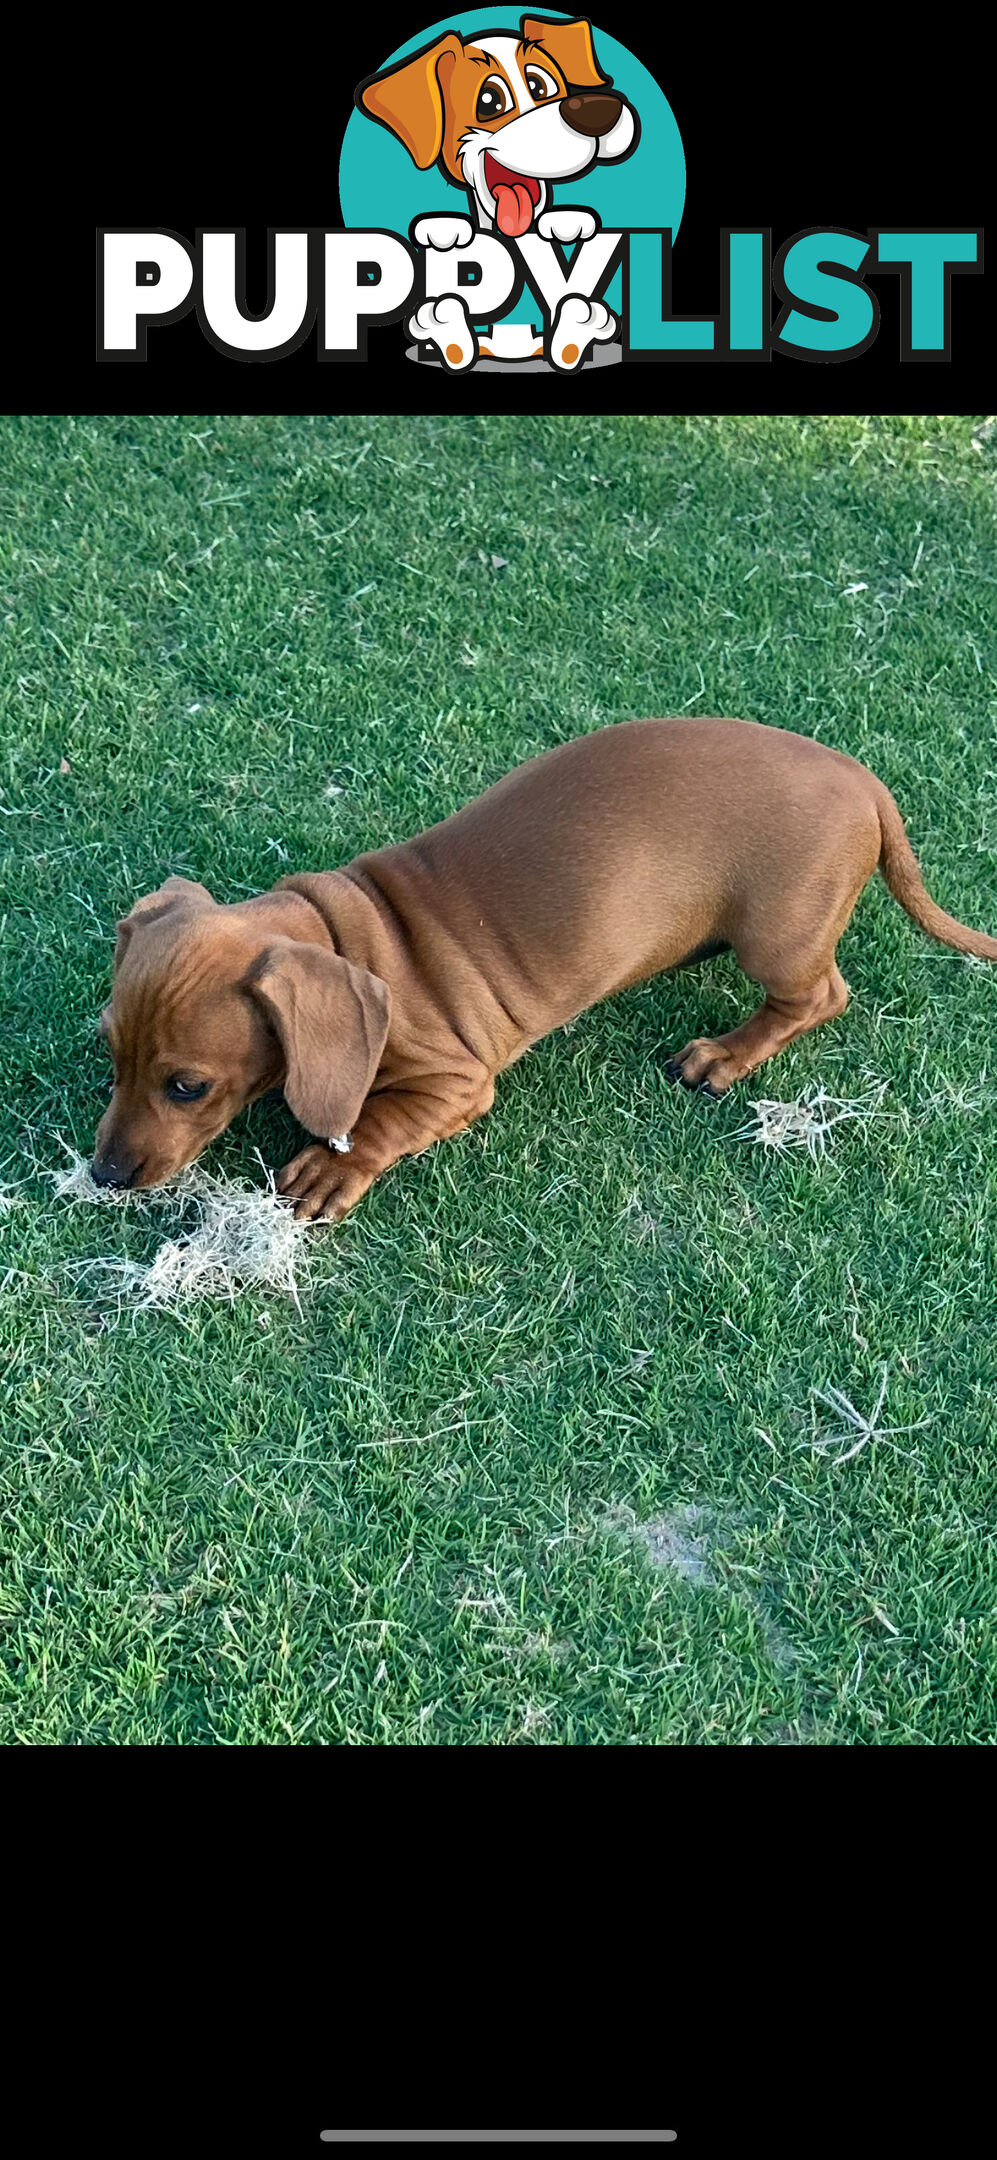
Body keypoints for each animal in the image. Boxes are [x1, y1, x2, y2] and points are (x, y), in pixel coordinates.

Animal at [89, 721, 992, 1218]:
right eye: (111, 1053)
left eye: (188, 1086)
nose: (103, 1176)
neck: (350, 934)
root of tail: (865, 782)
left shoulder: (457, 1079)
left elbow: (382, 1122)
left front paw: (332, 1167)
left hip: (779, 932)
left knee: (819, 995)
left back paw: (723, 1056)